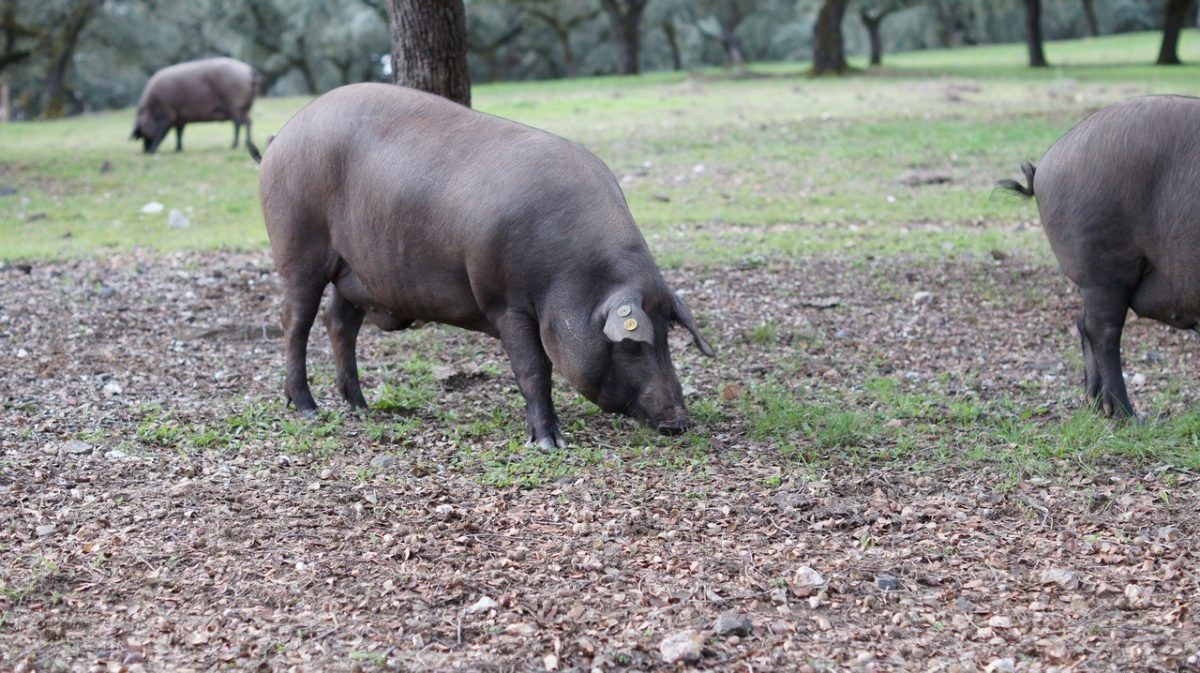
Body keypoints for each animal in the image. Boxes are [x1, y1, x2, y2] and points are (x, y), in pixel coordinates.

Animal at [253, 83, 710, 448]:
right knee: (295, 323)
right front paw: (549, 443)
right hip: (298, 249)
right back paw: (308, 408)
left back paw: (360, 406)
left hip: (355, 272)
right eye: (632, 344)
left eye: (667, 334)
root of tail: (280, 137)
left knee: (339, 323)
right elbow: (534, 370)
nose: (678, 421)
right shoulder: (505, 301)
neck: (574, 276)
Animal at [998, 95, 1200, 415]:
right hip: (1102, 269)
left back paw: (1094, 405)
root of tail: (1045, 166)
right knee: (1102, 331)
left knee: (1083, 323)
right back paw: (1127, 415)